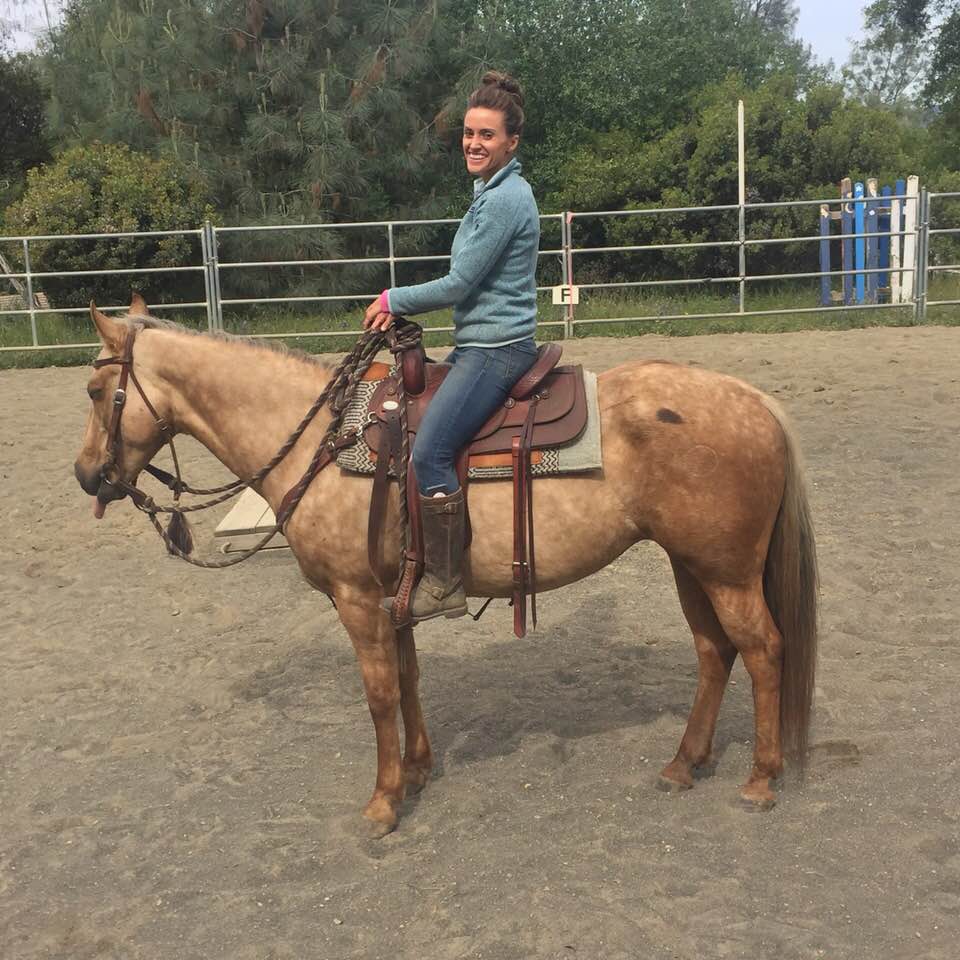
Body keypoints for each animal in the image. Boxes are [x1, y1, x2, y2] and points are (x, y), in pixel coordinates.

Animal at [74, 298, 818, 836]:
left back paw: (759, 780)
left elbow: (379, 695)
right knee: (714, 651)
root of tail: (755, 402)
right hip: (691, 566)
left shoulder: (356, 599)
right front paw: (417, 771)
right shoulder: (392, 597)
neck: (321, 442)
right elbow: (408, 680)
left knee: (762, 649)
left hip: (725, 573)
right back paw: (684, 764)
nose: (86, 477)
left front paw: (382, 803)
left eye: (96, 389)